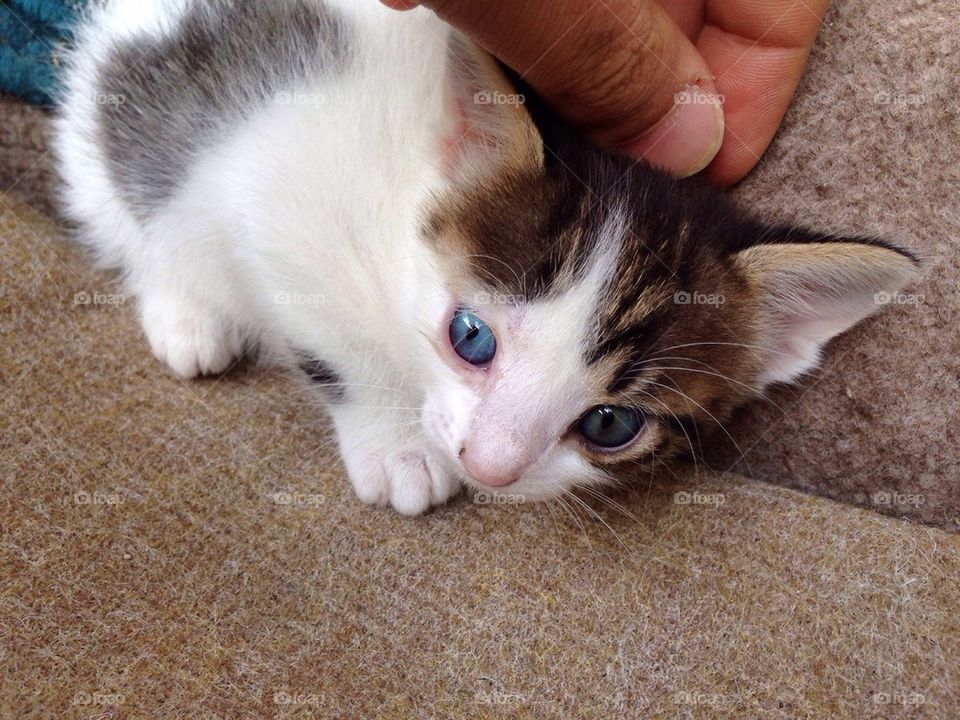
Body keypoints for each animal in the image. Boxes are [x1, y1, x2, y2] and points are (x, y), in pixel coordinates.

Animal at [56, 2, 920, 516]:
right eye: (470, 339)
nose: (491, 467)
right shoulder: (278, 190)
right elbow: (335, 336)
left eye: (611, 424)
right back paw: (188, 313)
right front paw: (398, 445)